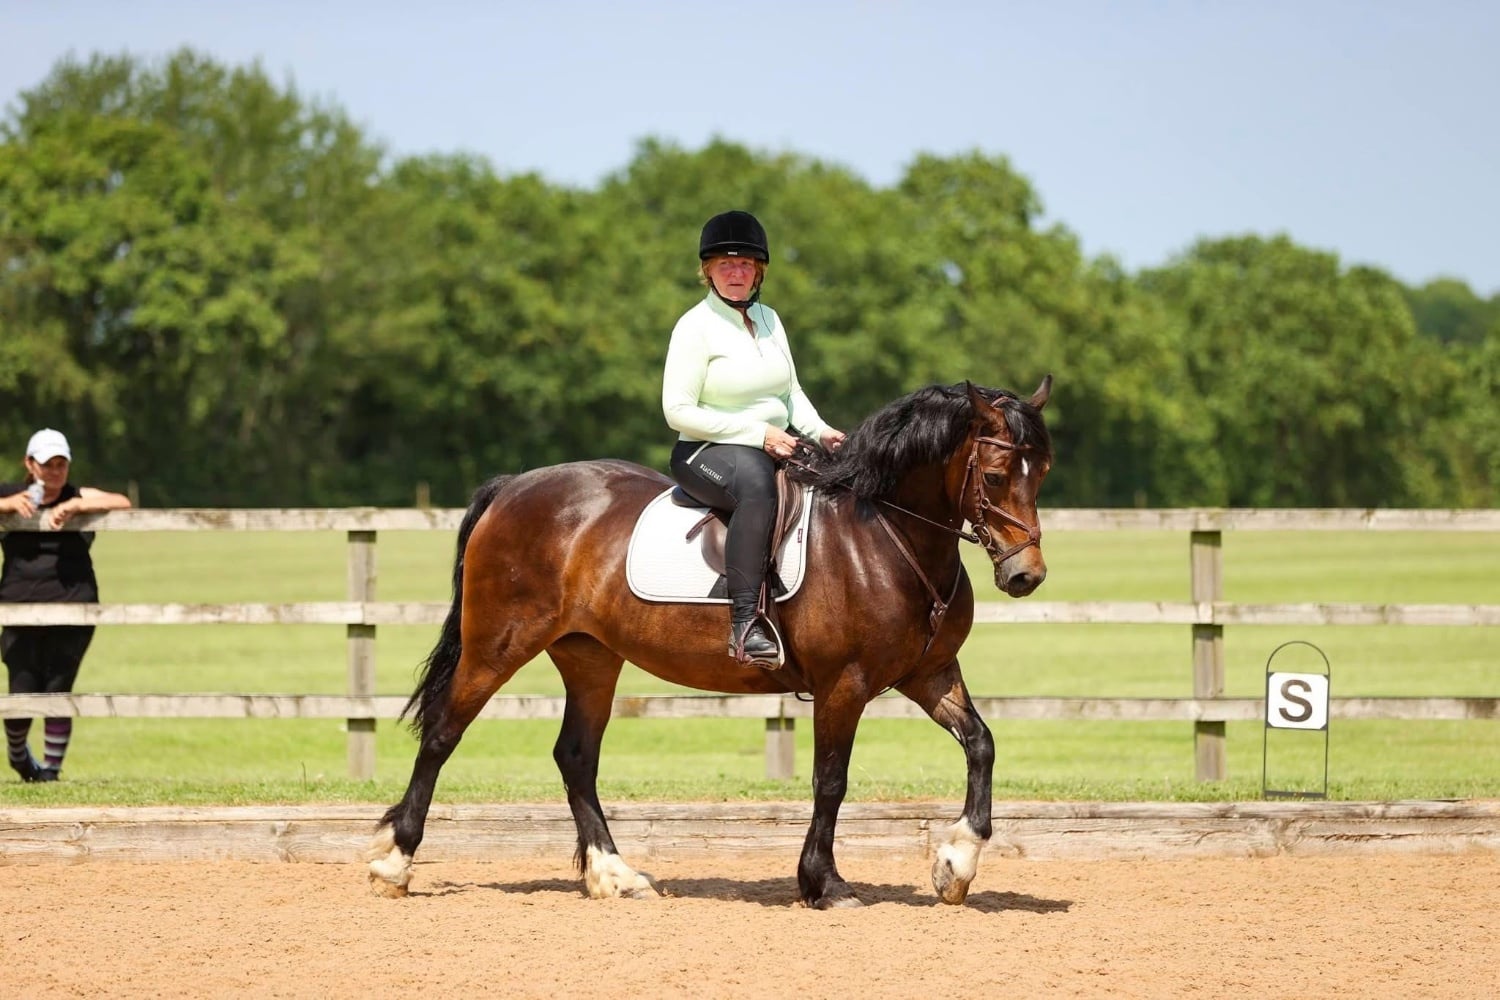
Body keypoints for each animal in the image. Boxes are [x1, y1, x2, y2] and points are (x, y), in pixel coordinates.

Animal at [367, 376, 1054, 908]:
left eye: (1041, 472)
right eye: (996, 476)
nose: (1026, 576)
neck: (884, 531)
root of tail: (512, 488)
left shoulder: (928, 673)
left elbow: (981, 745)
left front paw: (955, 865)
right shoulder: (845, 684)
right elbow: (830, 780)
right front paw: (824, 884)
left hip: (590, 656)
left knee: (576, 757)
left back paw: (615, 875)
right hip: (497, 645)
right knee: (443, 734)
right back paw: (394, 864)